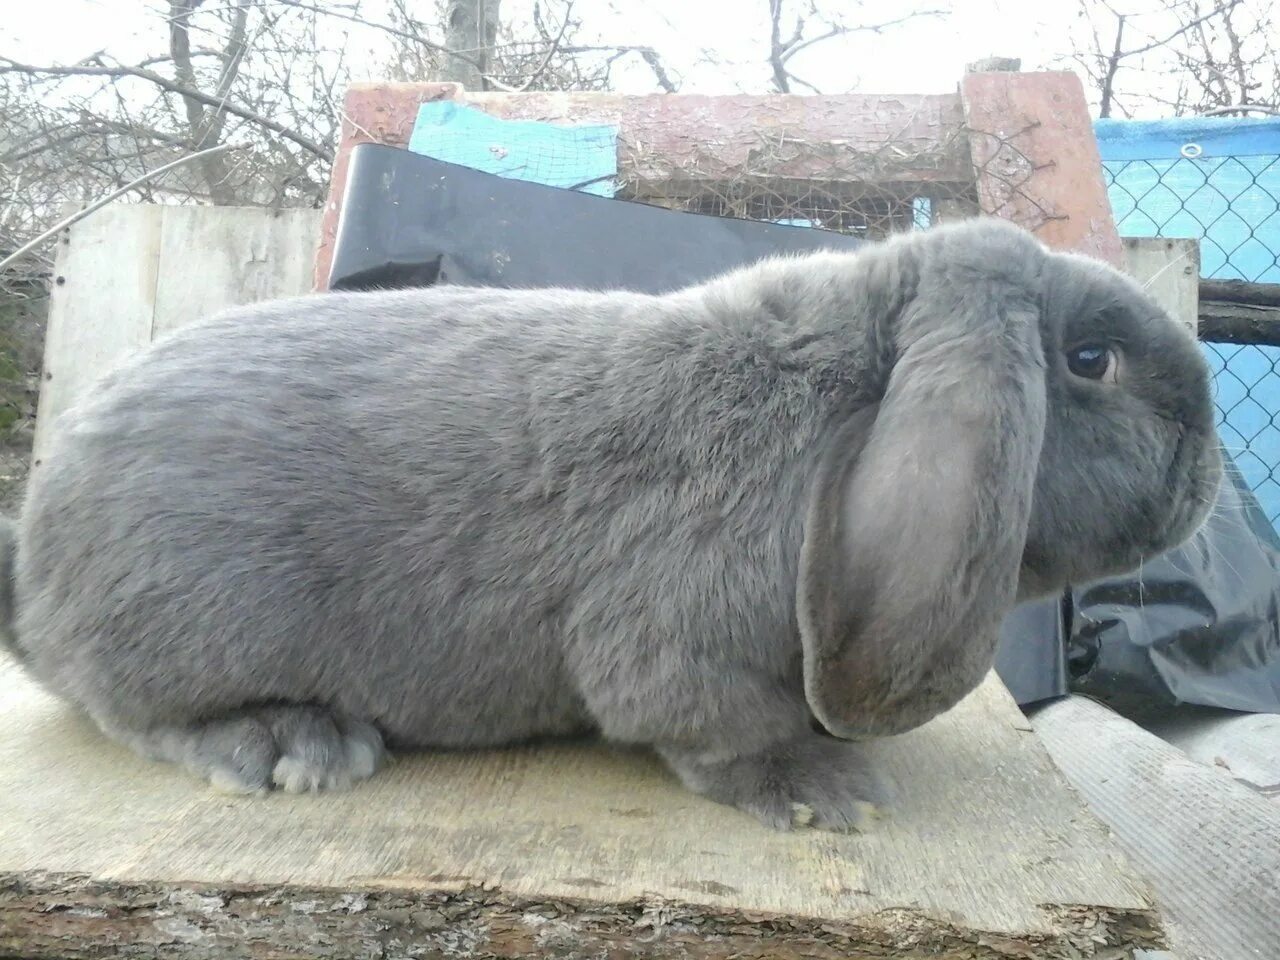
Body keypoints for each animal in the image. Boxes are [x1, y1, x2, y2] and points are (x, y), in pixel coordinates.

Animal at [0, 213, 1218, 829]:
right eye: (1088, 361)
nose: (1208, 465)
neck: (845, 401)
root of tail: (38, 558)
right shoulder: (681, 636)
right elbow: (713, 724)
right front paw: (825, 794)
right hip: (187, 620)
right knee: (134, 712)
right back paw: (294, 746)